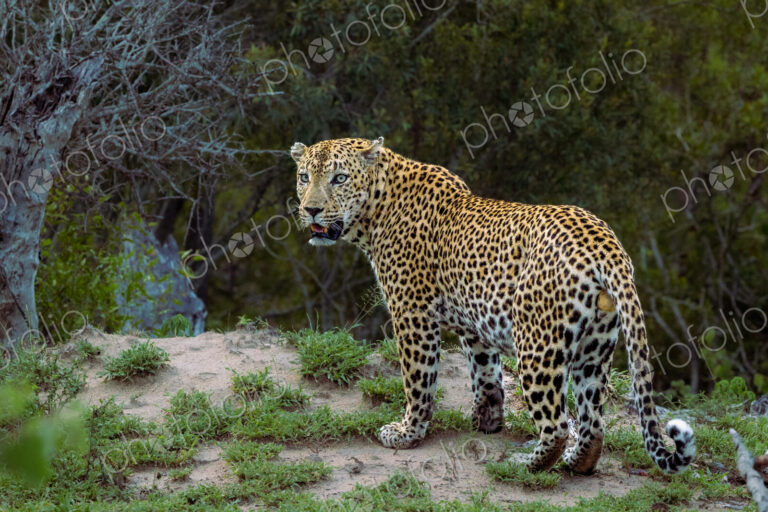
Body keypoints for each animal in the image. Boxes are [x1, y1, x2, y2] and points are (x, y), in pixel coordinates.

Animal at [291, 136, 695, 474]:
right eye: (304, 177)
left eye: (339, 178)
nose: (310, 209)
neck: (376, 210)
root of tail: (604, 242)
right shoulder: (476, 325)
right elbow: (486, 374)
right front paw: (487, 422)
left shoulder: (412, 313)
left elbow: (419, 379)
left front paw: (408, 433)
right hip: (595, 348)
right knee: (593, 423)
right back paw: (576, 463)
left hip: (537, 345)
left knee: (557, 423)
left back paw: (524, 465)